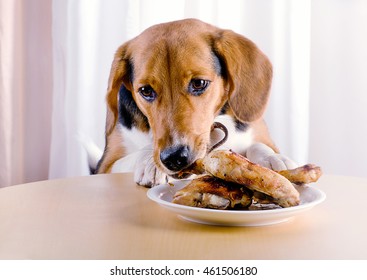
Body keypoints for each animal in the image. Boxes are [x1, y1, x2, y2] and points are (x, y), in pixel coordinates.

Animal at [90, 18, 298, 187]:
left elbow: (257, 146)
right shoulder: (106, 165)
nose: (174, 158)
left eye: (198, 83)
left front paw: (272, 158)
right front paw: (150, 161)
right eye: (146, 91)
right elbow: (136, 154)